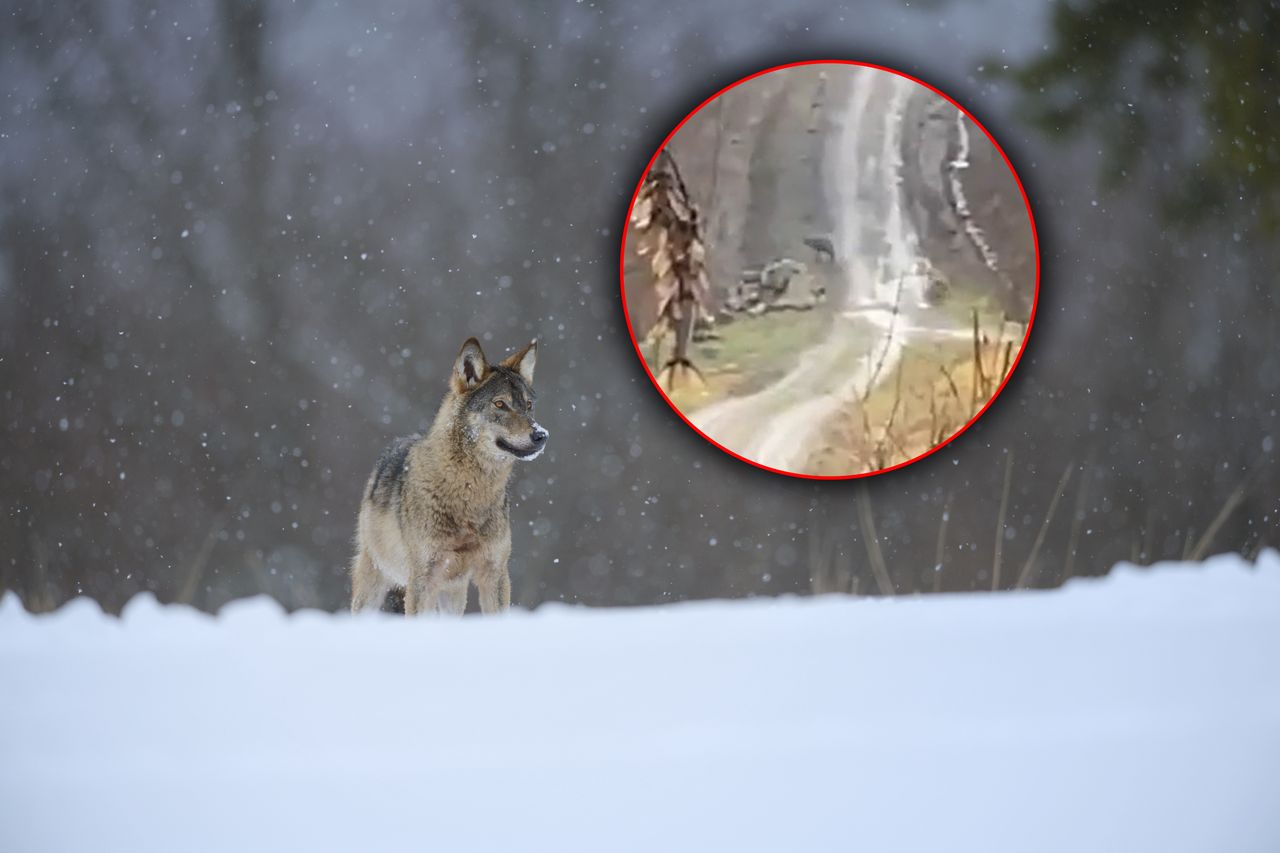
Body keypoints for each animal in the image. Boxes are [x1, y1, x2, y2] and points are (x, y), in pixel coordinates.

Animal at [348, 335, 547, 614]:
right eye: (500, 404)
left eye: (528, 406)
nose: (541, 435)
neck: (468, 492)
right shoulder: (423, 579)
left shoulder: (495, 573)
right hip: (375, 583)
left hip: (453, 592)